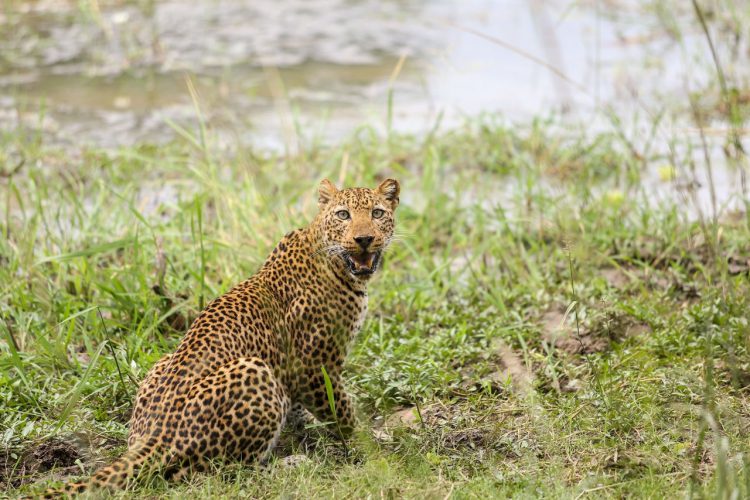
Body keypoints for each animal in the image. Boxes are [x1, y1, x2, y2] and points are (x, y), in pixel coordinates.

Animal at [40, 178, 400, 498]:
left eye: (377, 213)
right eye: (343, 215)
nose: (364, 238)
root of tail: (153, 435)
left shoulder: (297, 372)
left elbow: (303, 406)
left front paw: (309, 429)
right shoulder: (316, 365)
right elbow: (342, 409)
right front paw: (371, 441)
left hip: (162, 364)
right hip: (254, 371)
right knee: (217, 472)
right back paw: (291, 465)